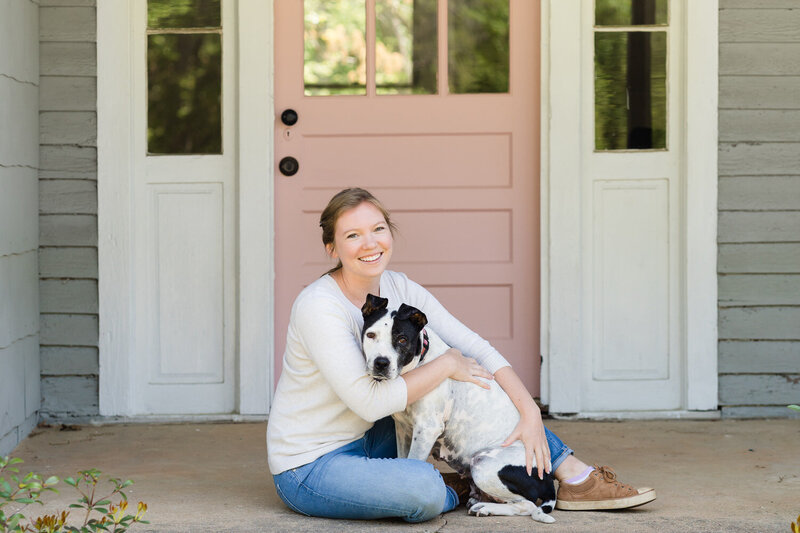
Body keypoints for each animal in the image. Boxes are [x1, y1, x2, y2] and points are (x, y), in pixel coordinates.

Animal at [362, 296, 556, 524]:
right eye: (371, 335)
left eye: (402, 339)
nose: (381, 363)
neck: (419, 366)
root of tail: (547, 478)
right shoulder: (403, 429)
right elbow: (403, 460)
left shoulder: (426, 429)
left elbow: (413, 462)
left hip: (483, 464)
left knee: (526, 505)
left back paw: (486, 507)